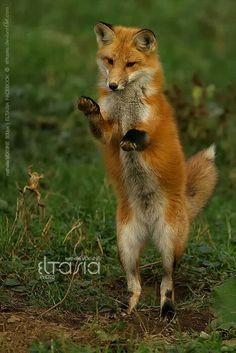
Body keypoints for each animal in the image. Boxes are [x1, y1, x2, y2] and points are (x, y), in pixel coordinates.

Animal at [78, 22, 218, 320]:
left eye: (131, 64)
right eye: (110, 61)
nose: (112, 85)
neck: (125, 107)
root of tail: (150, 227)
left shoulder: (152, 124)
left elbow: (141, 135)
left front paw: (131, 141)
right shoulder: (107, 132)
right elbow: (102, 126)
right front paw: (90, 107)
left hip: (169, 246)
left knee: (167, 282)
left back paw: (167, 310)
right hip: (126, 247)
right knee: (136, 286)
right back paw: (127, 309)